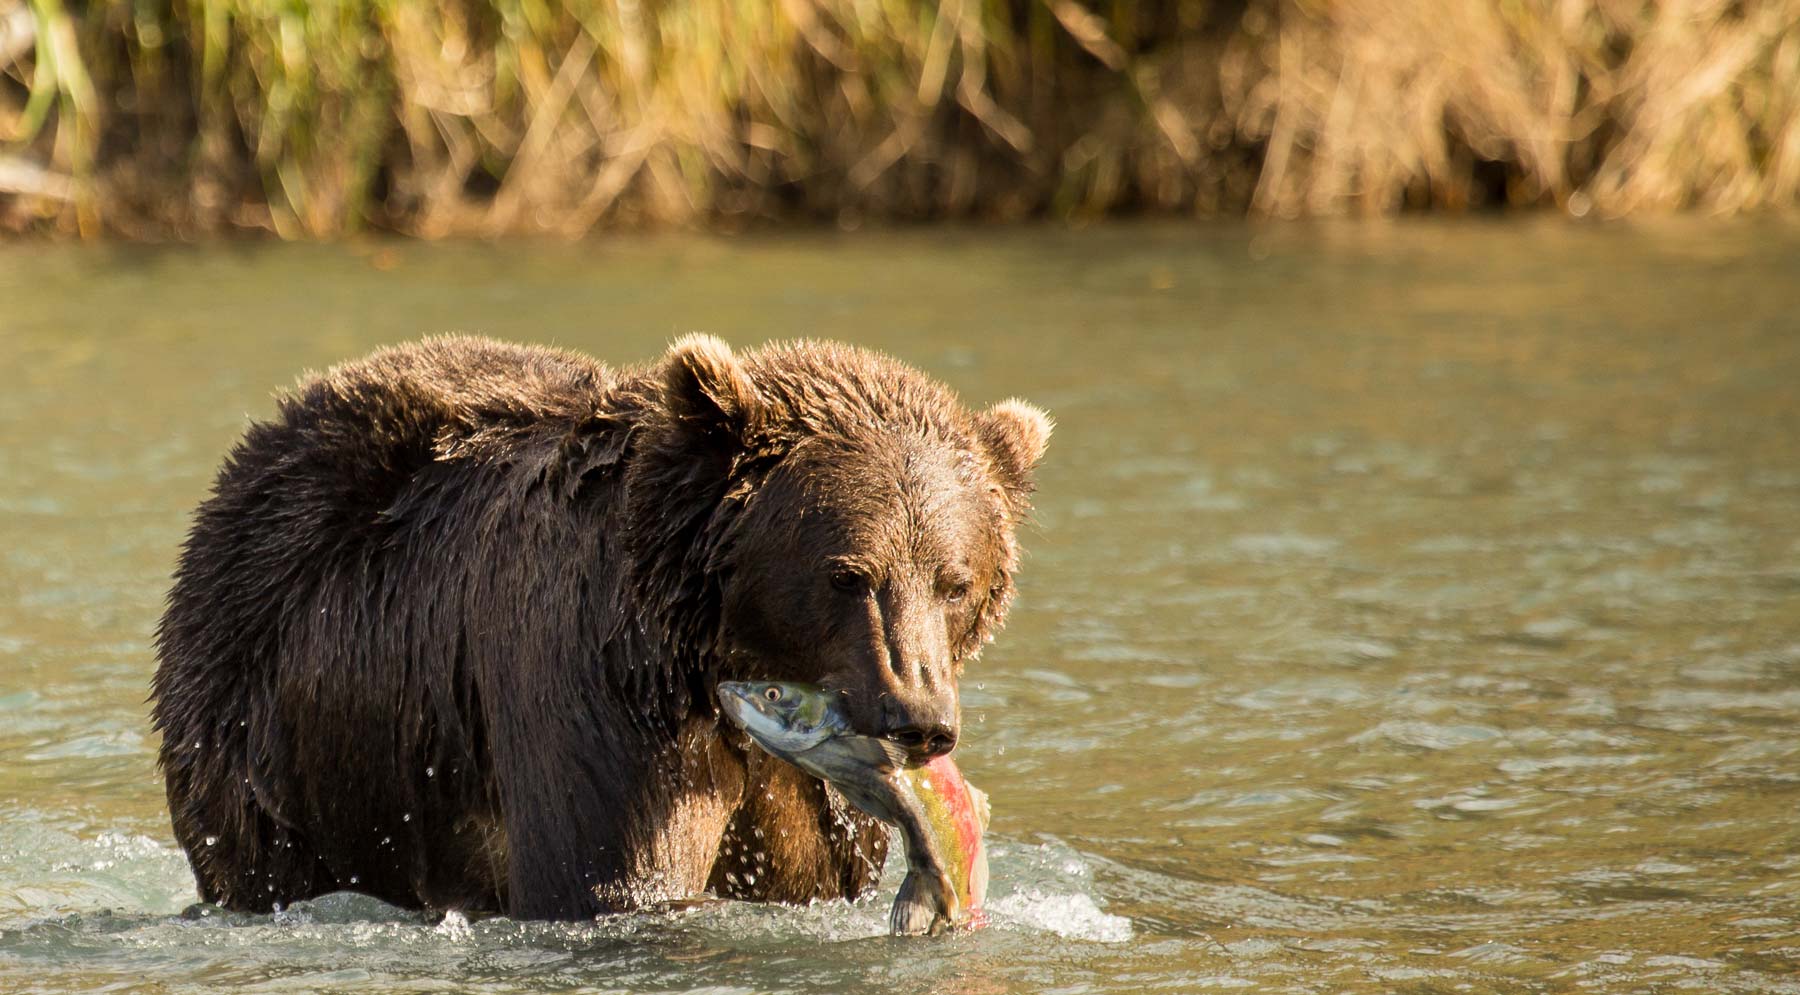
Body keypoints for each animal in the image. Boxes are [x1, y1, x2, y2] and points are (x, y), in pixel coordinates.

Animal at [154, 332, 1051, 914]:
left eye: (955, 582)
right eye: (848, 574)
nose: (918, 716)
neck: (703, 647)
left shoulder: (806, 791)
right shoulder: (594, 686)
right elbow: (607, 871)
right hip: (275, 732)